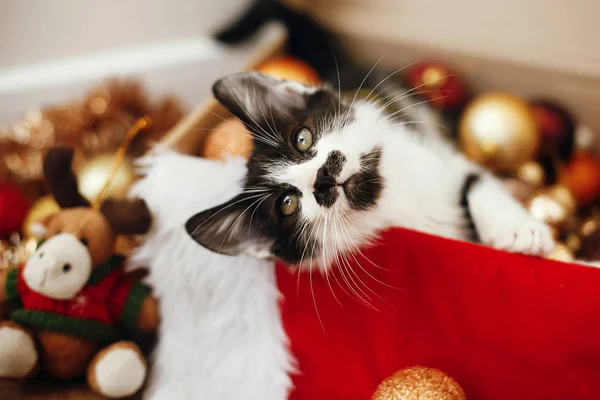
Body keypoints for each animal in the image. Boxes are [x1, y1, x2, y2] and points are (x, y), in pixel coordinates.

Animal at [186, 74, 552, 268]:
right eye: (287, 204)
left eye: (303, 138)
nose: (321, 177)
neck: (392, 196)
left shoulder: (443, 158)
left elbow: (477, 182)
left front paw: (520, 230)